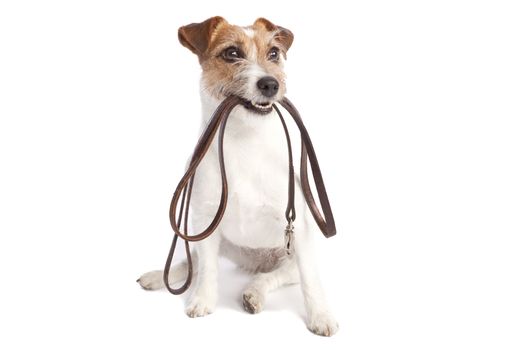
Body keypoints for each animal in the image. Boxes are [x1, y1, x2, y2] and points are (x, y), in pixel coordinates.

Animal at [137, 16, 338, 336]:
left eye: (273, 54)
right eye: (232, 53)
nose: (270, 84)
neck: (245, 139)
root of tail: (255, 262)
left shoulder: (301, 231)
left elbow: (311, 283)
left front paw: (321, 316)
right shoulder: (205, 222)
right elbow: (207, 270)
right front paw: (202, 301)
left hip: (288, 259)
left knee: (270, 277)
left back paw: (254, 293)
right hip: (213, 240)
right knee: (194, 263)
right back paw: (158, 276)